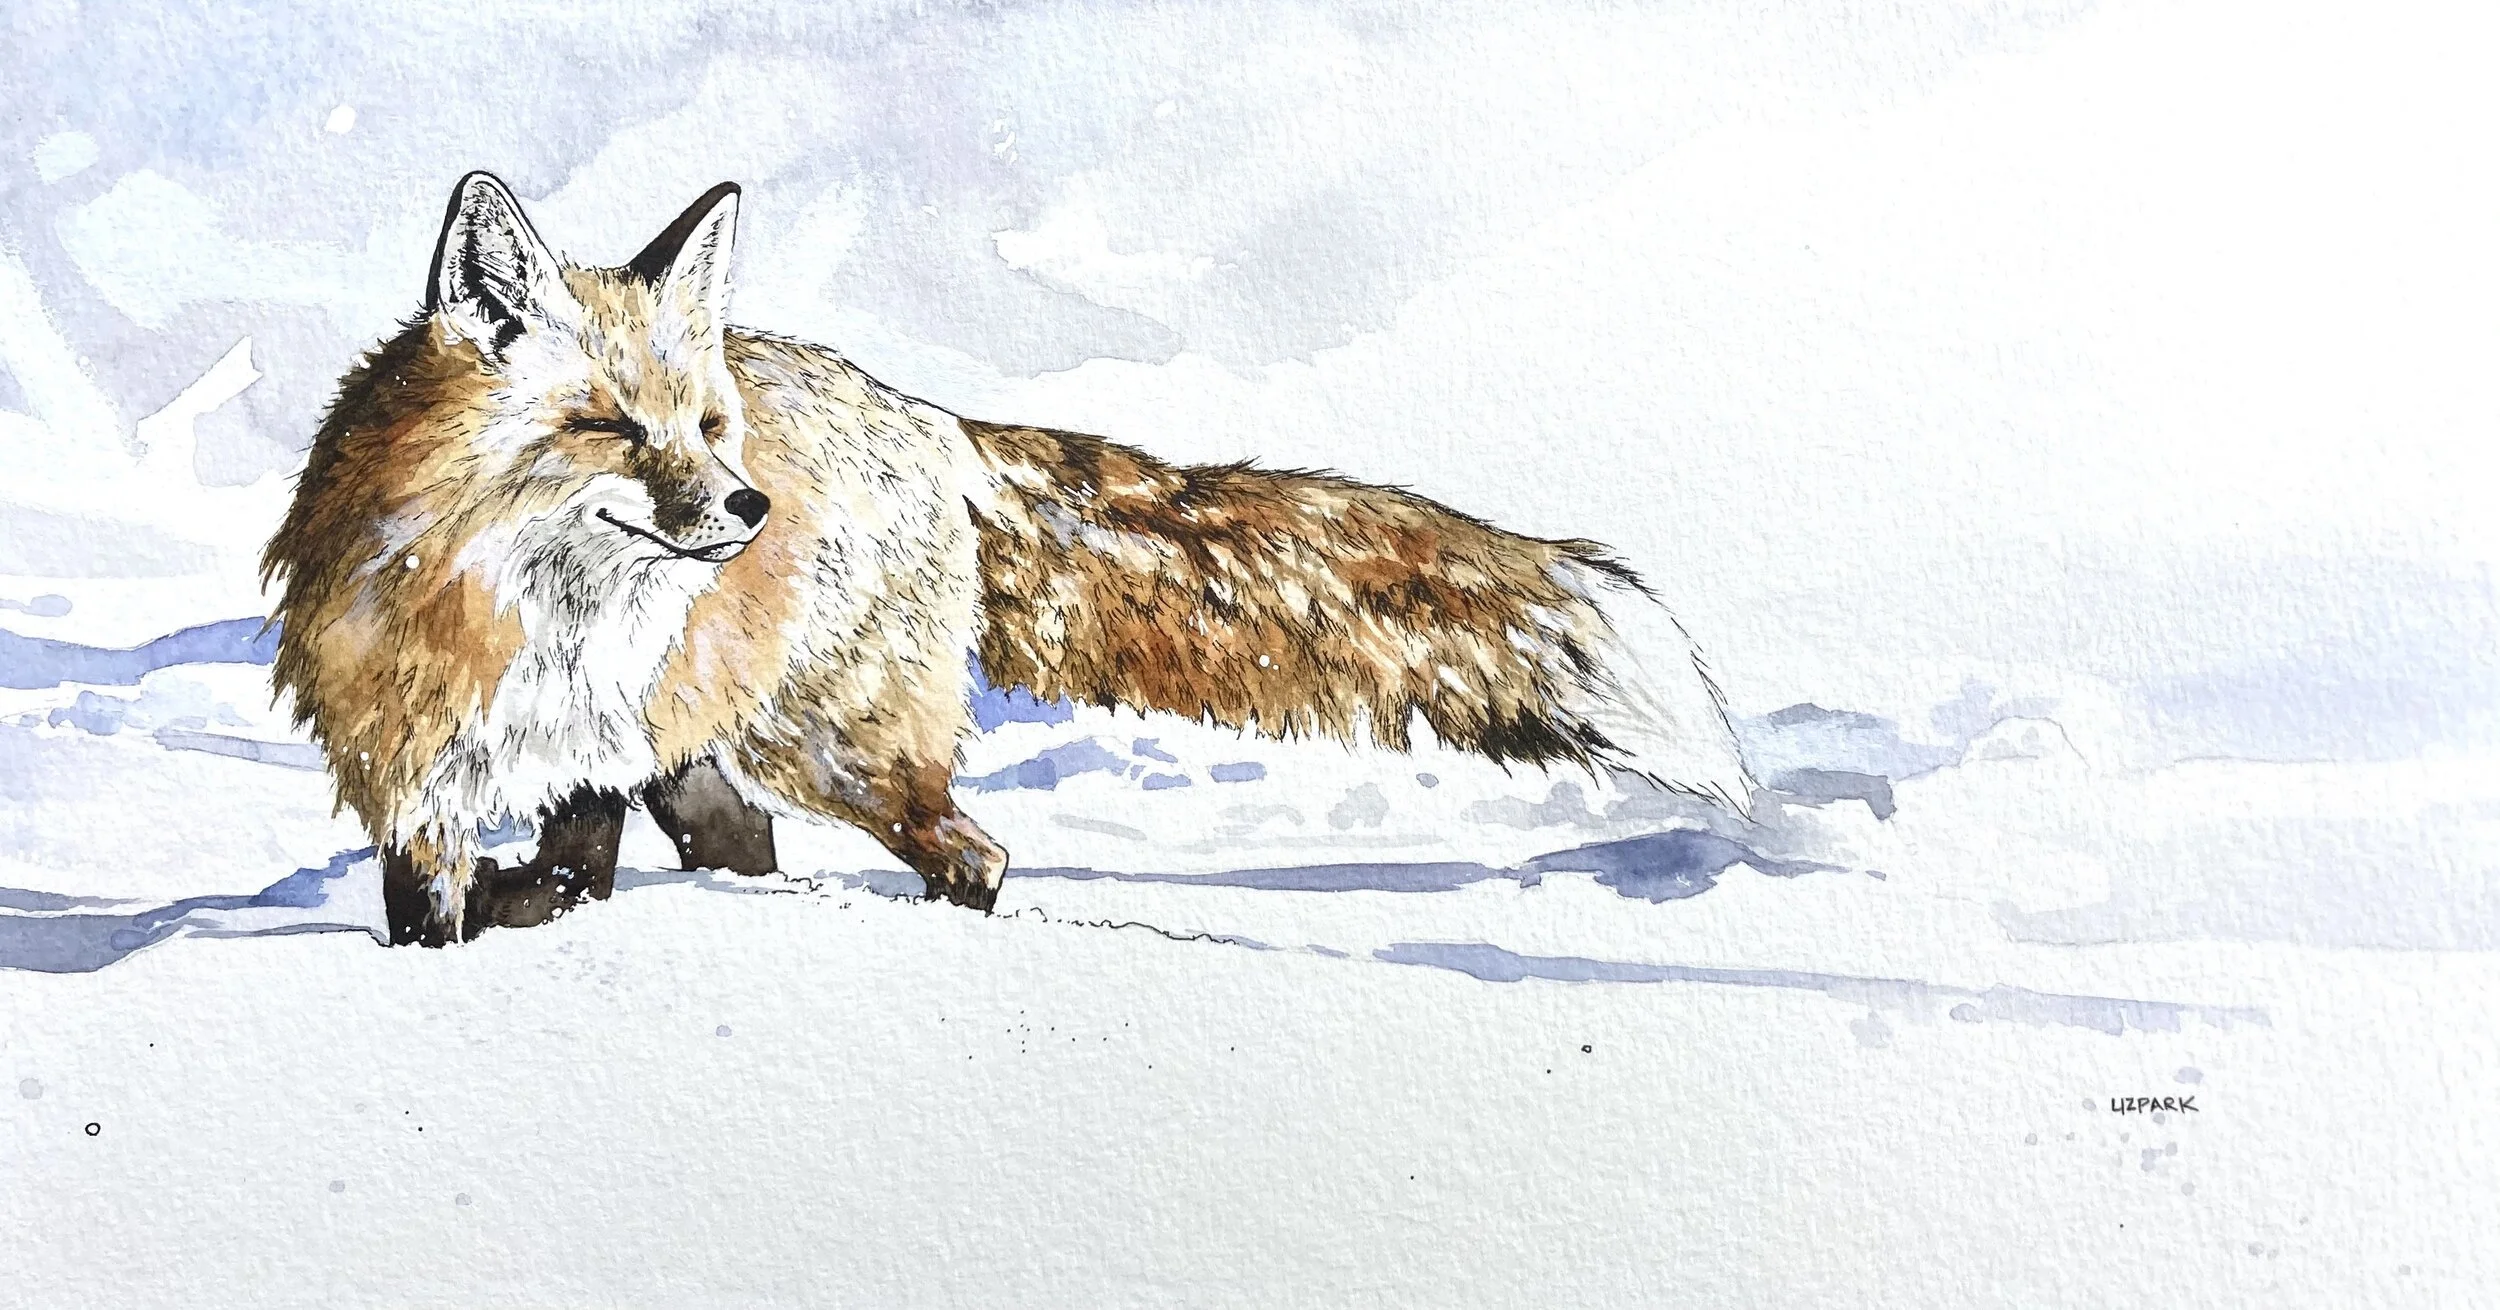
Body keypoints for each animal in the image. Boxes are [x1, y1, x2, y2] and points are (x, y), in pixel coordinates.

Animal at [262, 172, 1755, 946]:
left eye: (705, 424)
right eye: (613, 428)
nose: (748, 508)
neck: (540, 627)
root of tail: (927, 419)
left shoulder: (580, 752)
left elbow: (551, 872)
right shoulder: (422, 774)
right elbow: (463, 897)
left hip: (839, 748)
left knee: (971, 854)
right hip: (733, 753)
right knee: (745, 845)